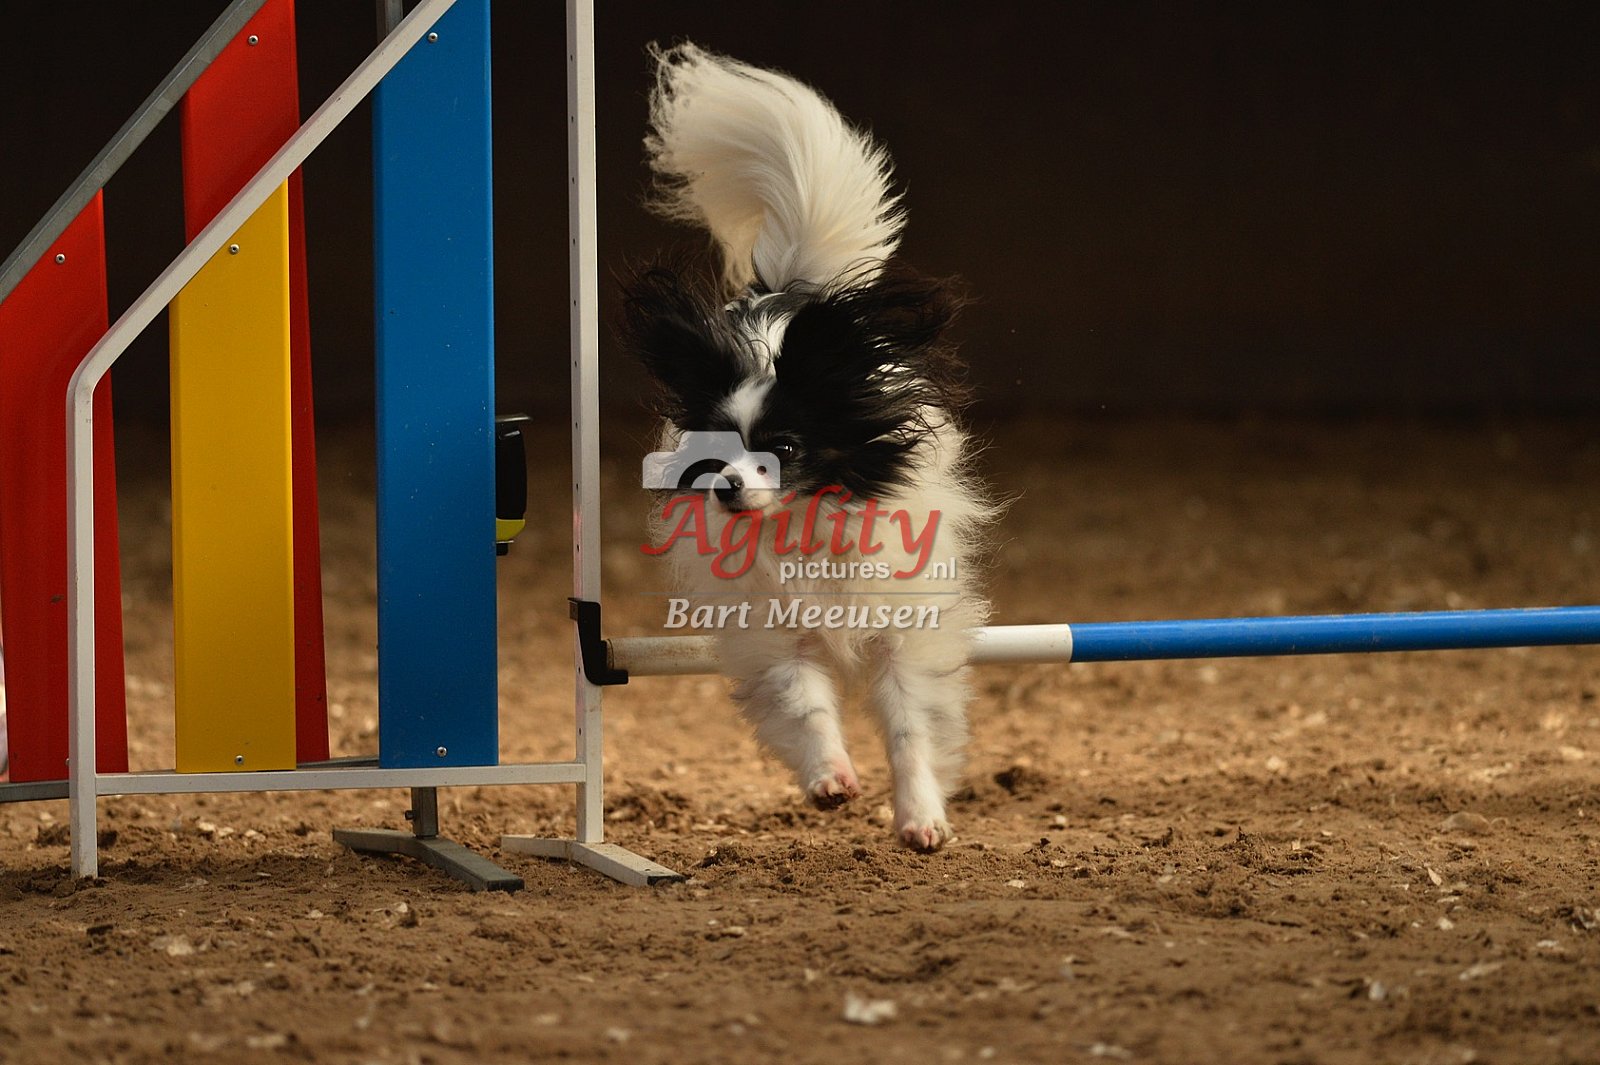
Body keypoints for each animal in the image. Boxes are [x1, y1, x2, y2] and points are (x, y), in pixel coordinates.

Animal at [620, 44, 997, 851]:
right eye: (714, 452)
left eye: (786, 448)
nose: (728, 487)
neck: (803, 525)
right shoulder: (774, 632)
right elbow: (805, 701)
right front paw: (830, 777)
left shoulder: (902, 634)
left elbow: (910, 728)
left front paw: (921, 817)